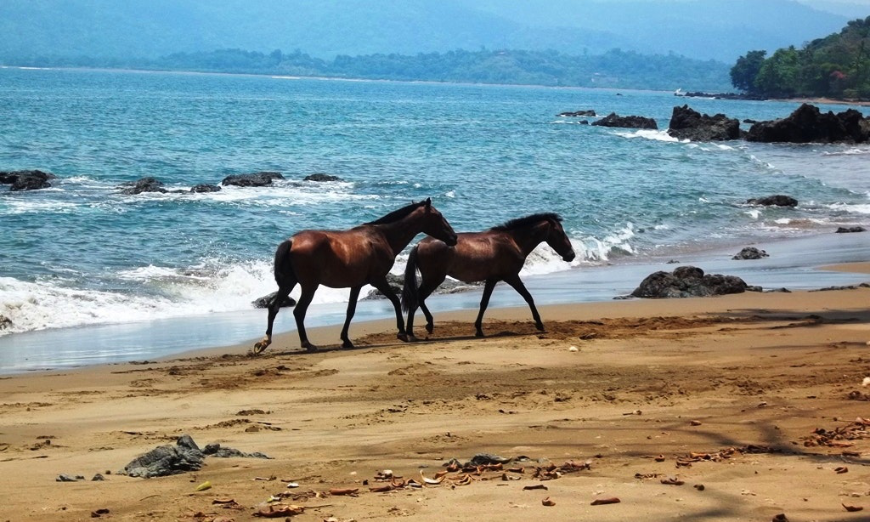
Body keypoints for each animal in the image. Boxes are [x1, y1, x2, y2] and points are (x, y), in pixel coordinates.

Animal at [253, 198, 457, 354]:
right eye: (438, 216)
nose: (454, 238)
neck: (381, 236)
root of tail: (291, 241)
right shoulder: (377, 279)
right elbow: (395, 301)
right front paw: (402, 332)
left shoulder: (357, 284)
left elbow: (350, 311)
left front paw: (346, 340)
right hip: (309, 286)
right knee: (298, 311)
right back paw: (307, 344)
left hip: (289, 283)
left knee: (273, 307)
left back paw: (264, 342)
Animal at [401, 213, 575, 340]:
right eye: (560, 232)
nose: (571, 255)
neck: (513, 241)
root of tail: (419, 244)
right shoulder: (511, 276)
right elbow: (528, 297)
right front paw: (539, 324)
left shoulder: (492, 279)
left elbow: (484, 303)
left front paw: (479, 329)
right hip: (434, 279)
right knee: (417, 299)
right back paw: (425, 326)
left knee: (416, 301)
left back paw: (411, 332)